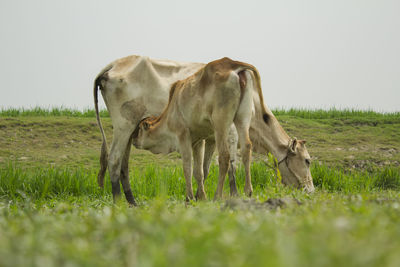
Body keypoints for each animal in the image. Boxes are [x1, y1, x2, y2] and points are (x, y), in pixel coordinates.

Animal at [94, 54, 316, 205]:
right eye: (307, 160)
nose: (311, 190)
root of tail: (115, 64)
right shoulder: (227, 130)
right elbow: (229, 161)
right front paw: (229, 194)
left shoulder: (207, 137)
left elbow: (204, 168)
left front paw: (202, 196)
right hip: (123, 125)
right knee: (114, 159)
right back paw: (118, 200)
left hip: (130, 131)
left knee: (124, 163)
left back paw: (131, 200)